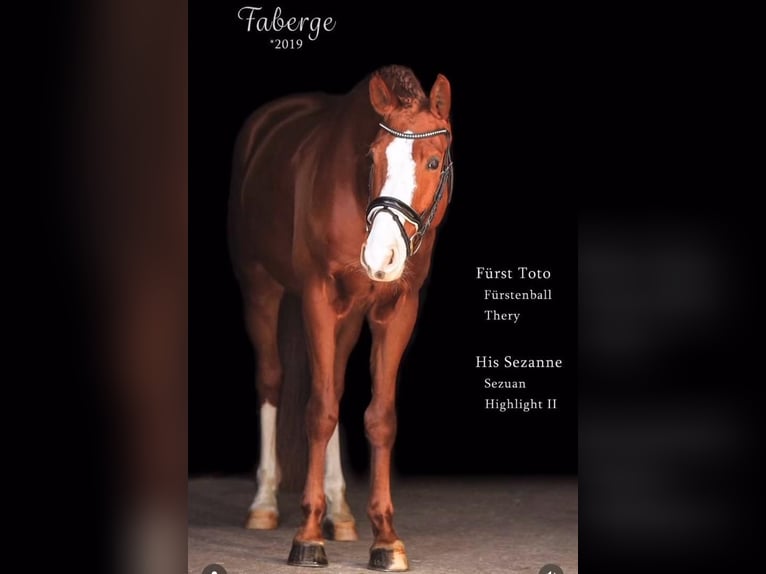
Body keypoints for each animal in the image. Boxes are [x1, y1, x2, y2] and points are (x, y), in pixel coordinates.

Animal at [228, 65, 454, 571]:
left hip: (348, 318)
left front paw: (385, 538)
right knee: (274, 381)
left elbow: (378, 416)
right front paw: (307, 537)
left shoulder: (398, 307)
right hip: (261, 288)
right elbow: (319, 411)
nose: (381, 256)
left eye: (433, 163)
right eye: (372, 157)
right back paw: (264, 504)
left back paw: (340, 511)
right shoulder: (317, 296)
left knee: (331, 381)